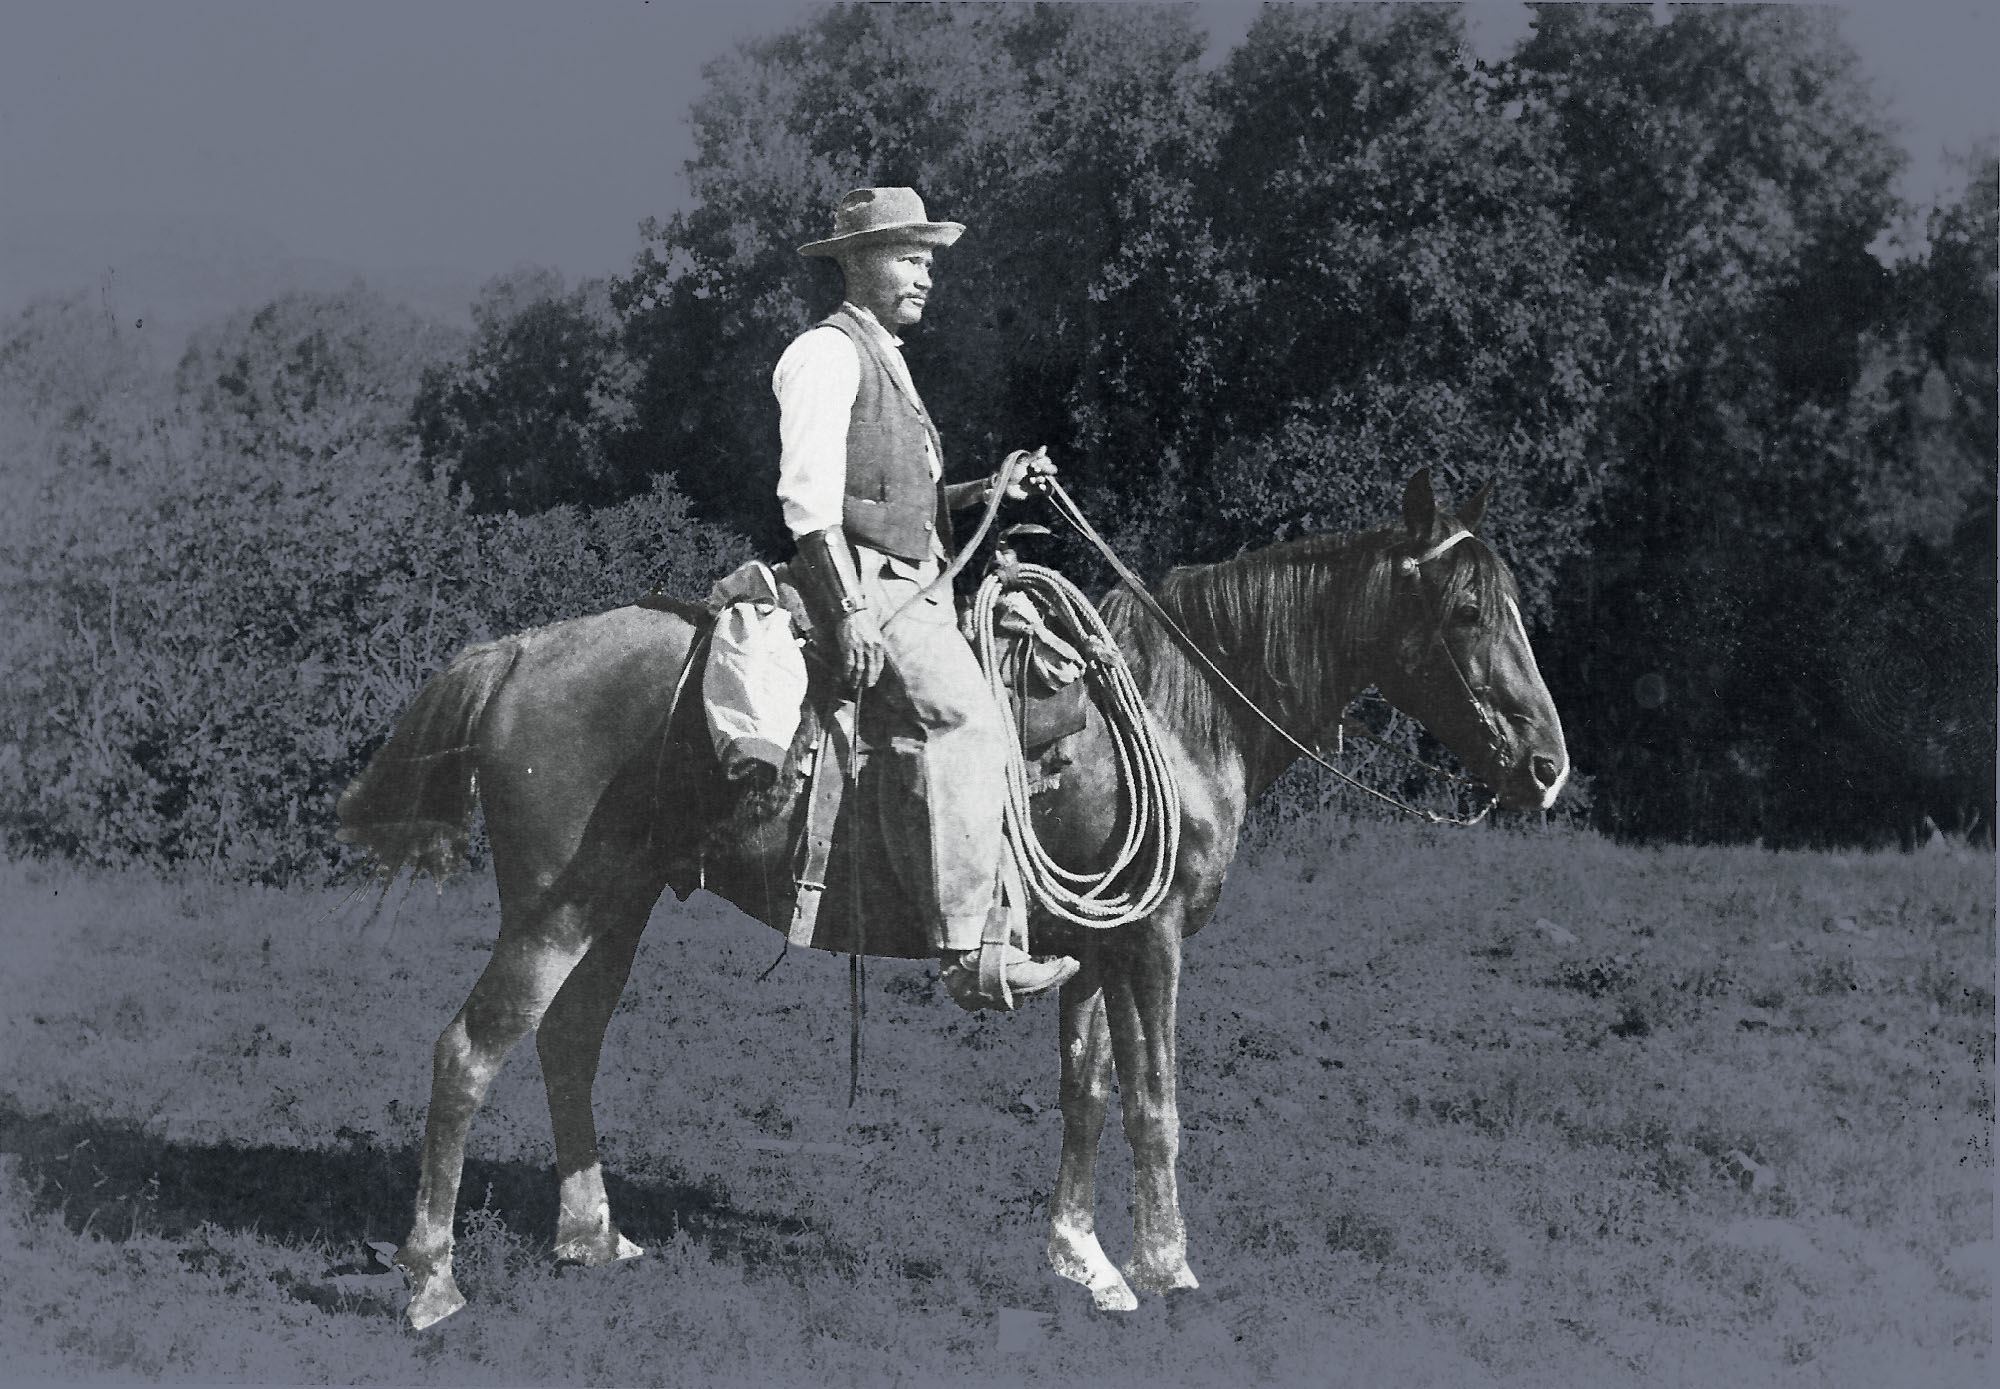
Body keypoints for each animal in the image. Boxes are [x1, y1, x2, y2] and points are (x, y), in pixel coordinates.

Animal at [340, 474, 1560, 1336]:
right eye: (1463, 609)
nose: (1546, 768)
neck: (1178, 714)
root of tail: (518, 652)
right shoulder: (1154, 942)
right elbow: (1156, 1105)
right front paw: (1170, 1269)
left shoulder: (1094, 947)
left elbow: (1085, 1096)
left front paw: (1084, 1262)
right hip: (556, 909)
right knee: (472, 1051)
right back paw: (432, 1283)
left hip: (619, 901)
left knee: (569, 1045)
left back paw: (593, 1240)